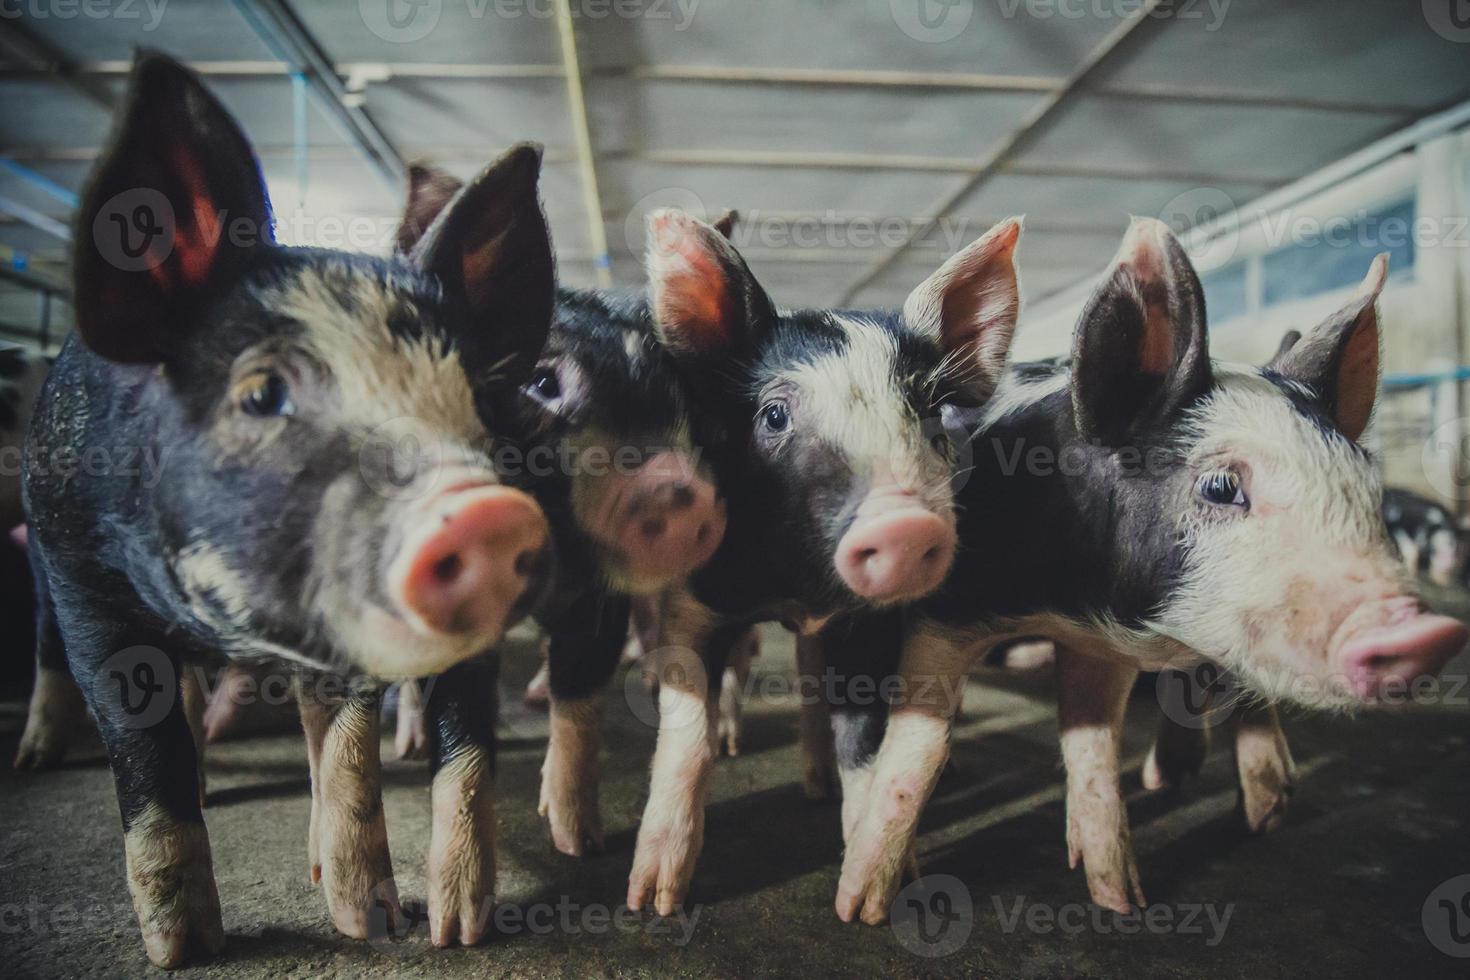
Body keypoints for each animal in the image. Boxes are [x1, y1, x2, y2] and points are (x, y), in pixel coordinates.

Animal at [28, 53, 555, 963]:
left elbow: (378, 754)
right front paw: (187, 951)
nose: (481, 509)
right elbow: (141, 745)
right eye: (261, 393)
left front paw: (422, 929)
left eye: (479, 405)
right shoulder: (80, 576)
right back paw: (39, 764)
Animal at [834, 215, 1464, 928]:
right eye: (1221, 485)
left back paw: (1252, 805)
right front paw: (863, 909)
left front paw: (1120, 902)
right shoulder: (949, 613)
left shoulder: (1099, 642)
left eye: (1366, 486)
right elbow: (922, 748)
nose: (1425, 632)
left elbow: (1096, 747)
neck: (1065, 600)